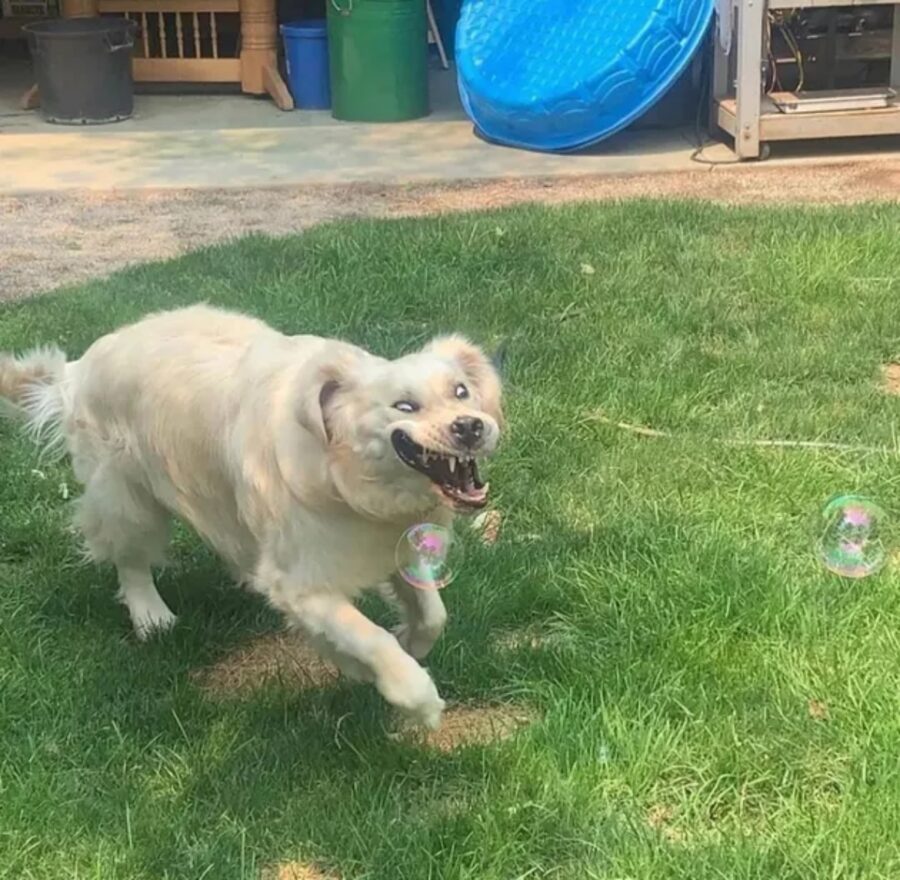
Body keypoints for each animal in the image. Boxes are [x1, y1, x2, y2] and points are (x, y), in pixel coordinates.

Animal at [0, 306, 502, 732]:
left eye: (461, 391)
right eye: (404, 406)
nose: (470, 426)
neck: (343, 474)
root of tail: (77, 368)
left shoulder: (394, 542)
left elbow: (432, 614)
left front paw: (406, 641)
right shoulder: (304, 583)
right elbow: (369, 636)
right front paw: (416, 698)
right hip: (126, 497)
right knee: (131, 560)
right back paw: (151, 616)